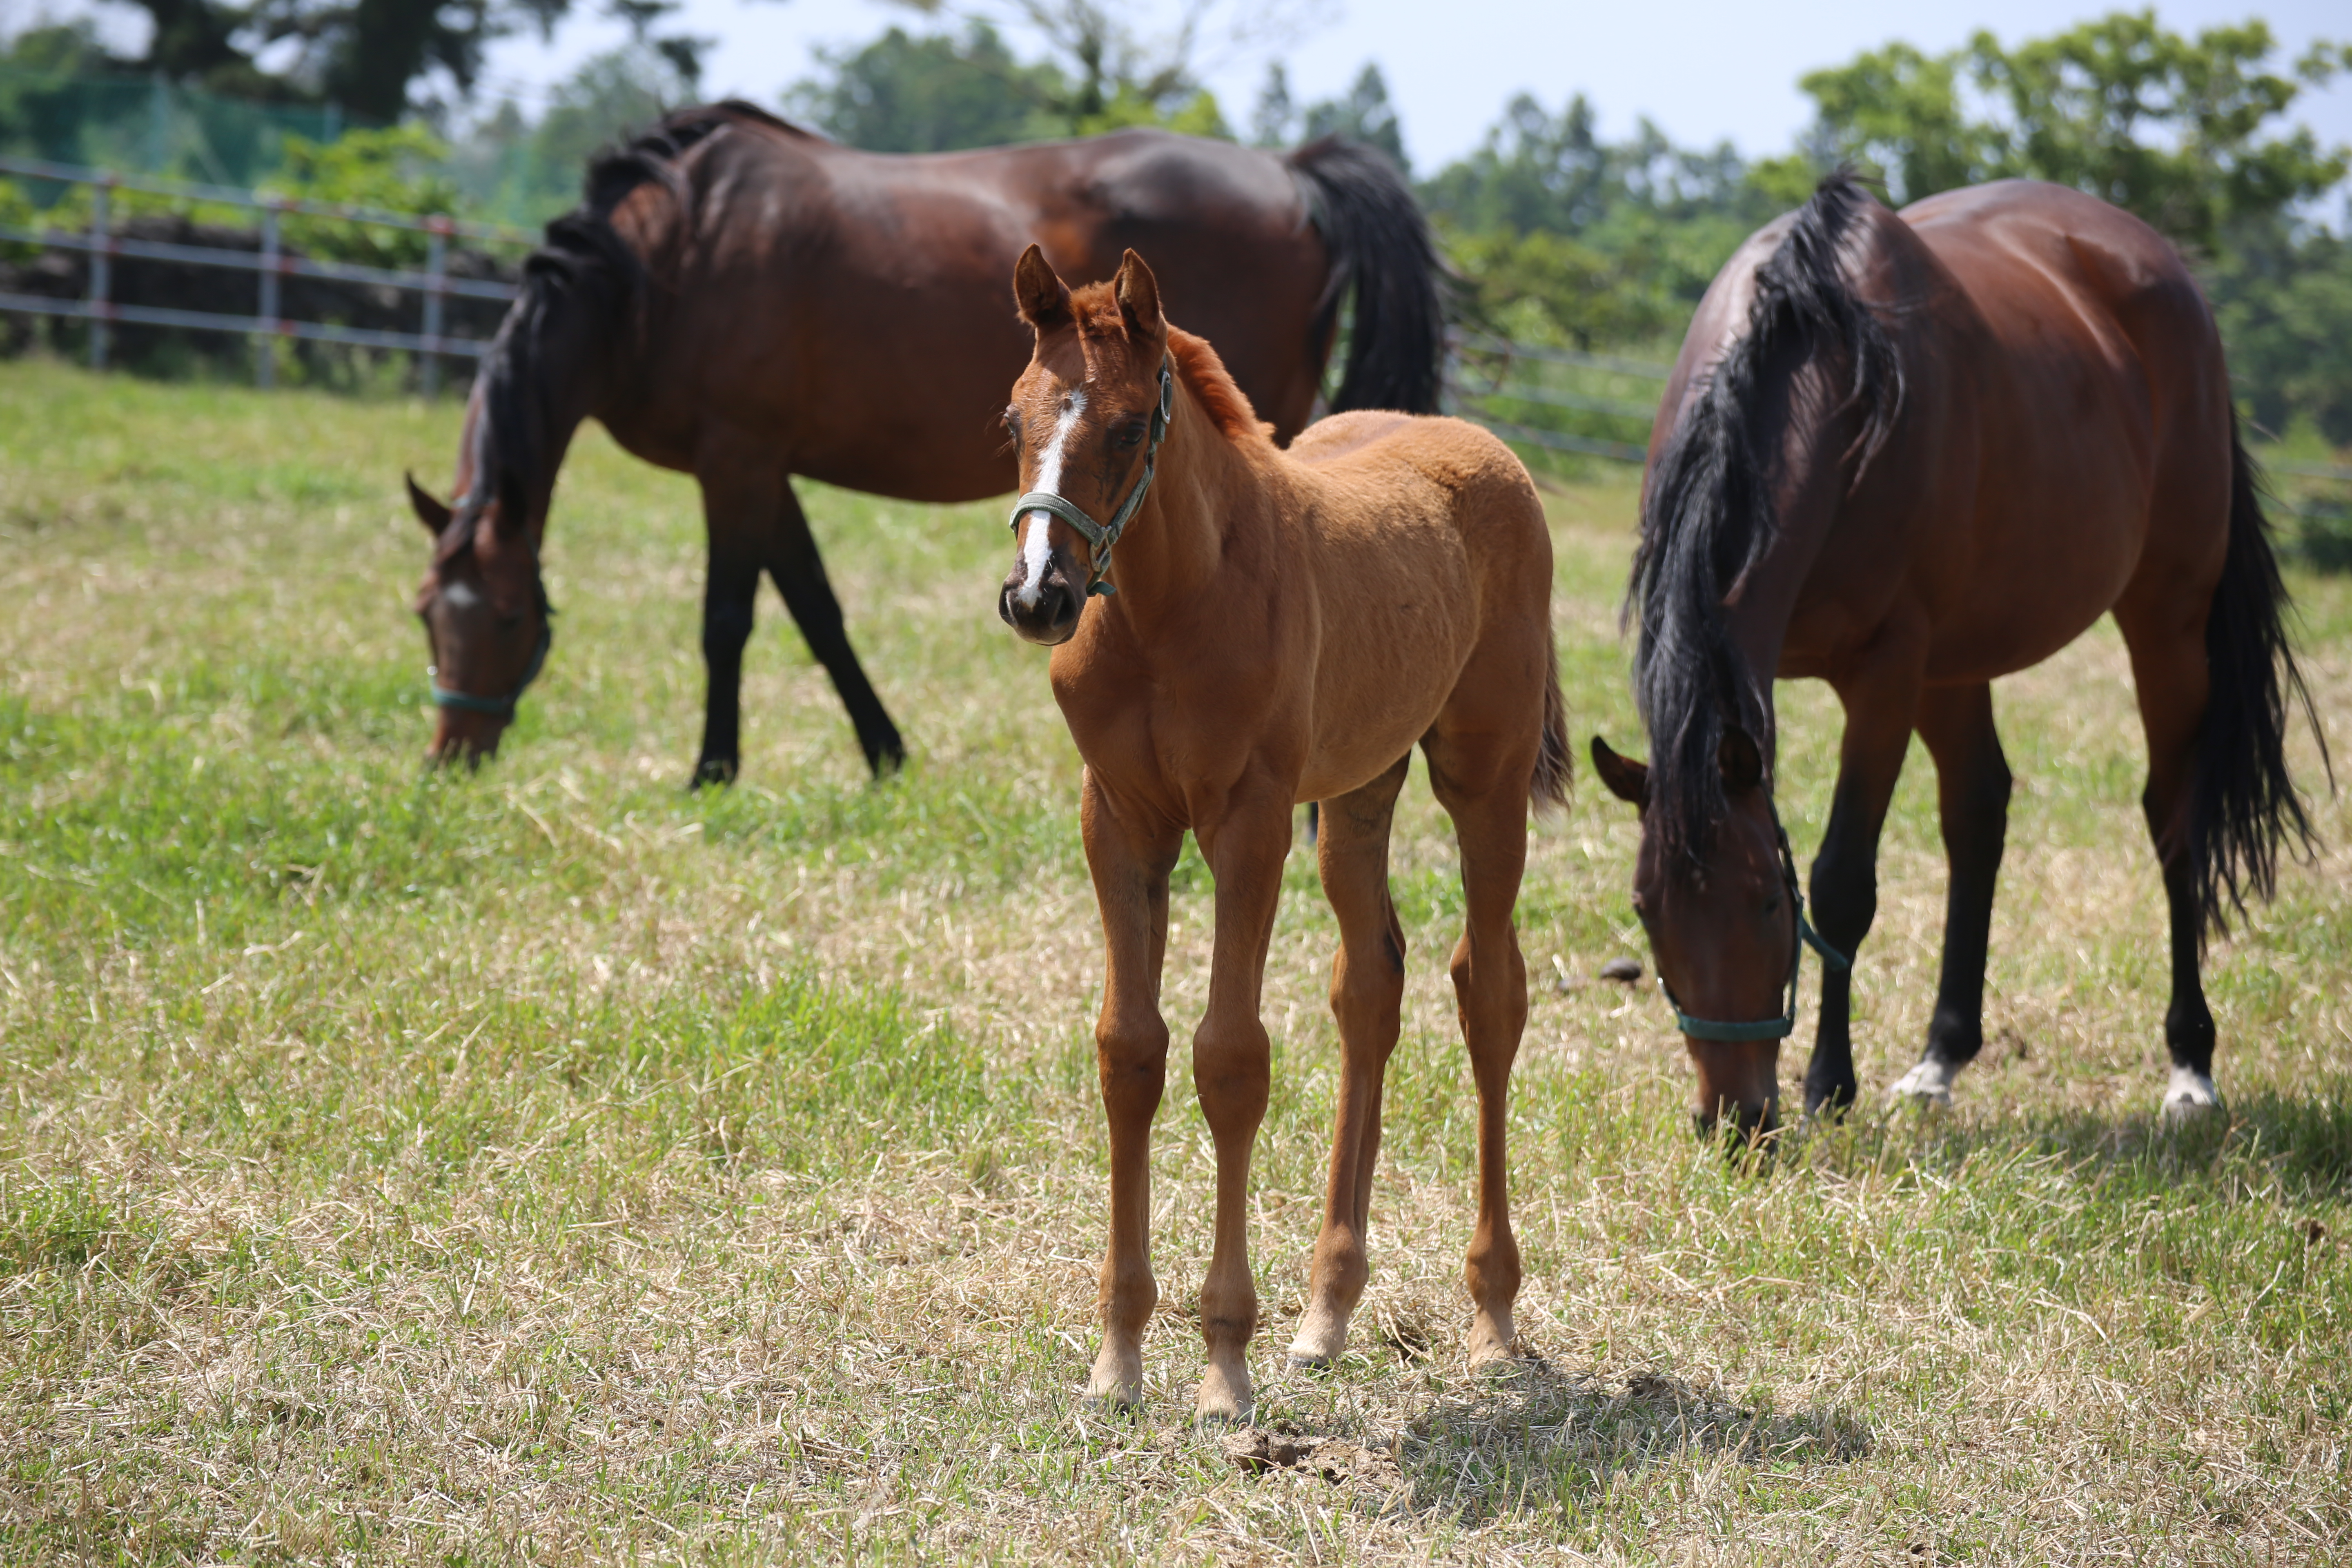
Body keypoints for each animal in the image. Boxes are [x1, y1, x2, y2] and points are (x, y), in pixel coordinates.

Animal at [407, 102, 1439, 780]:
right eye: (425, 615)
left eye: (509, 618)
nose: (452, 756)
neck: (664, 259)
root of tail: (1289, 168)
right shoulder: (766, 469)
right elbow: (817, 610)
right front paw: (885, 752)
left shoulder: (734, 459)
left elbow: (727, 620)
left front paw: (712, 769)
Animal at [992, 245, 1561, 1420]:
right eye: (1010, 419)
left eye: (1127, 427)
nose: (1037, 596)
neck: (1169, 611)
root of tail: (1478, 444)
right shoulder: (1119, 820)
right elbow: (1131, 1051)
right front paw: (1118, 1361)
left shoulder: (1247, 823)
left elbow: (1230, 1058)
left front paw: (1223, 1367)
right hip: (1358, 792)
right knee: (1371, 988)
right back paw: (1326, 1313)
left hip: (1482, 780)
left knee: (1489, 991)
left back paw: (1491, 1320)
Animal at [1590, 175, 2323, 1142]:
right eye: (1647, 909)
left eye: (1766, 902)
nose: (1736, 1120)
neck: (1829, 380)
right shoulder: (1907, 668)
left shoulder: (1886, 674)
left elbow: (1844, 881)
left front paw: (1830, 1085)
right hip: (1957, 665)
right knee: (1980, 810)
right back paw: (1941, 1059)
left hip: (2165, 620)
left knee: (2175, 820)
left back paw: (2190, 1068)